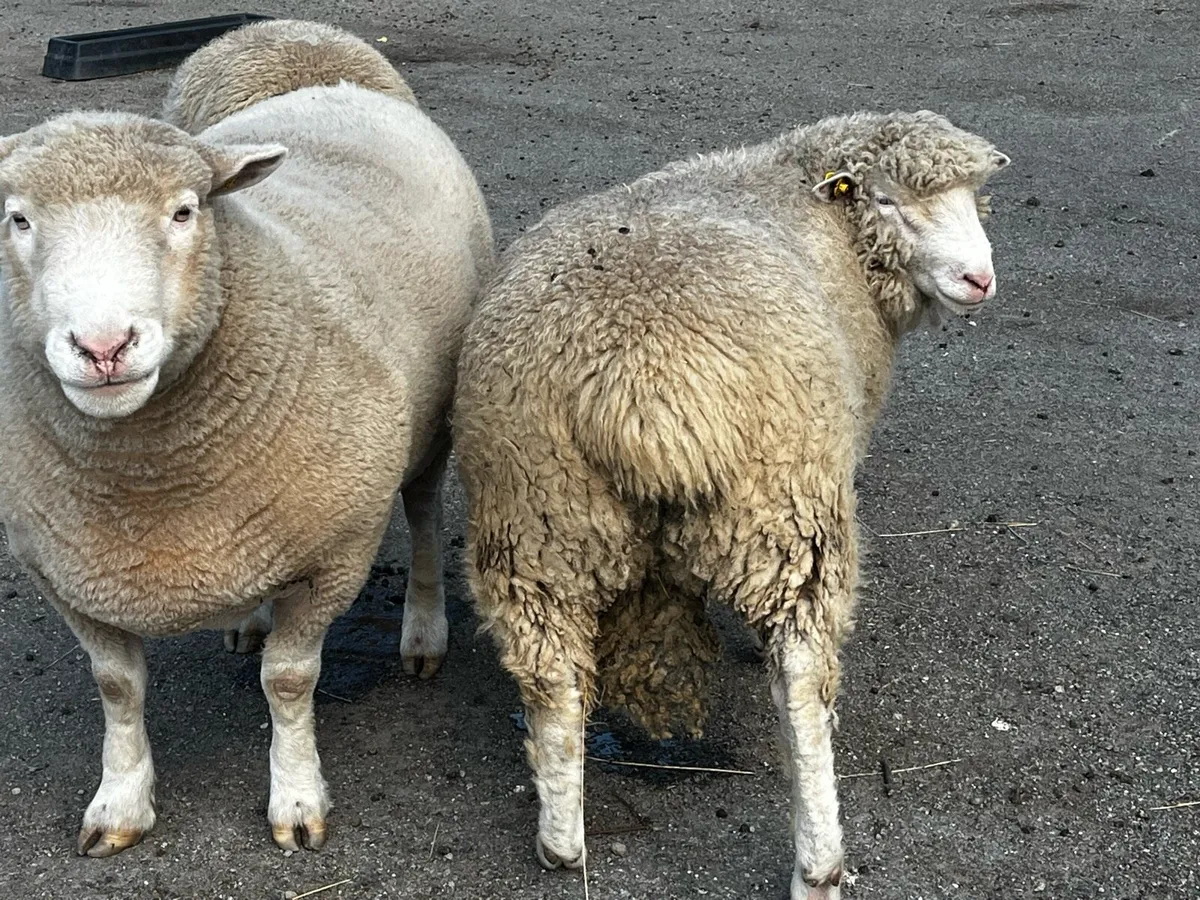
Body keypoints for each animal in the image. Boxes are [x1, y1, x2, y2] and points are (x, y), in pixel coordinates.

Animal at [0, 19, 492, 857]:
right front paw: (119, 804)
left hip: (431, 430)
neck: (149, 478)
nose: (103, 345)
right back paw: (246, 622)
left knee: (425, 515)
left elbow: (289, 681)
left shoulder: (335, 552)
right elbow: (116, 687)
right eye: (19, 220)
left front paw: (296, 799)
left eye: (185, 212)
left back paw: (423, 633)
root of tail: (306, 45)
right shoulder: (65, 569)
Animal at [453, 110, 1009, 899]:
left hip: (538, 513)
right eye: (887, 200)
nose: (978, 279)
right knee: (802, 680)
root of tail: (642, 386)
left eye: (972, 200)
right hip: (787, 506)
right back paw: (819, 865)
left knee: (551, 680)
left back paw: (561, 843)